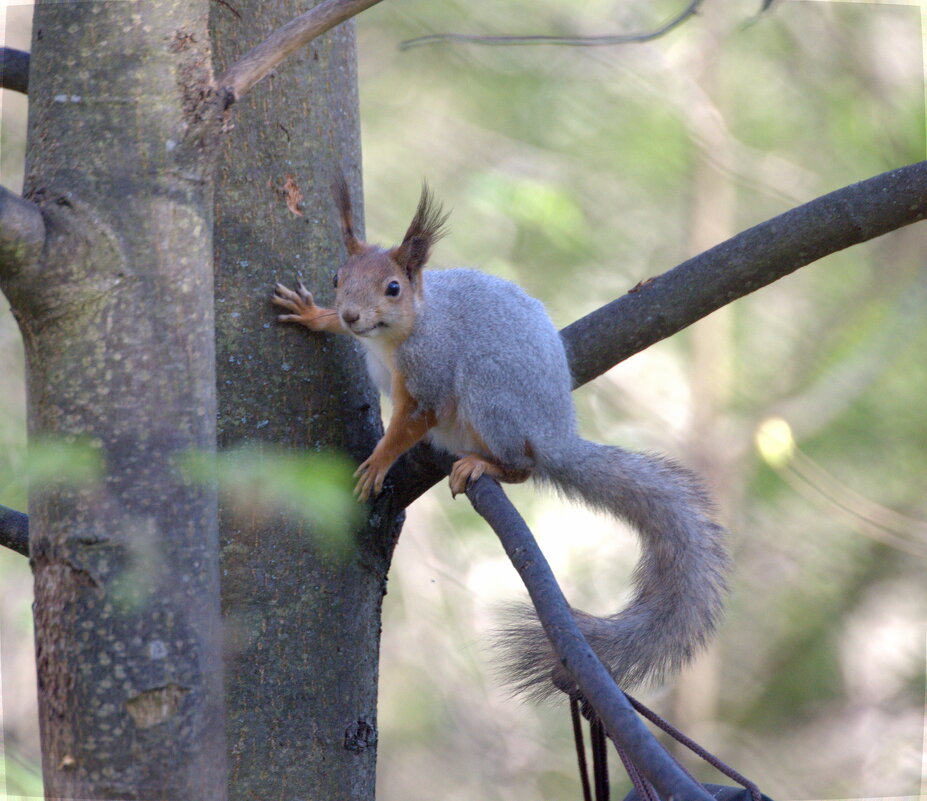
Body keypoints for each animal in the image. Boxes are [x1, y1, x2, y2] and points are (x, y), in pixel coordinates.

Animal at [272, 179, 729, 698]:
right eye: (336, 278)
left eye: (393, 288)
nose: (350, 315)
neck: (398, 334)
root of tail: (555, 435)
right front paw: (313, 314)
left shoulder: (430, 374)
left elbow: (413, 421)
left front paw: (379, 462)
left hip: (490, 398)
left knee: (523, 465)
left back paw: (484, 465)